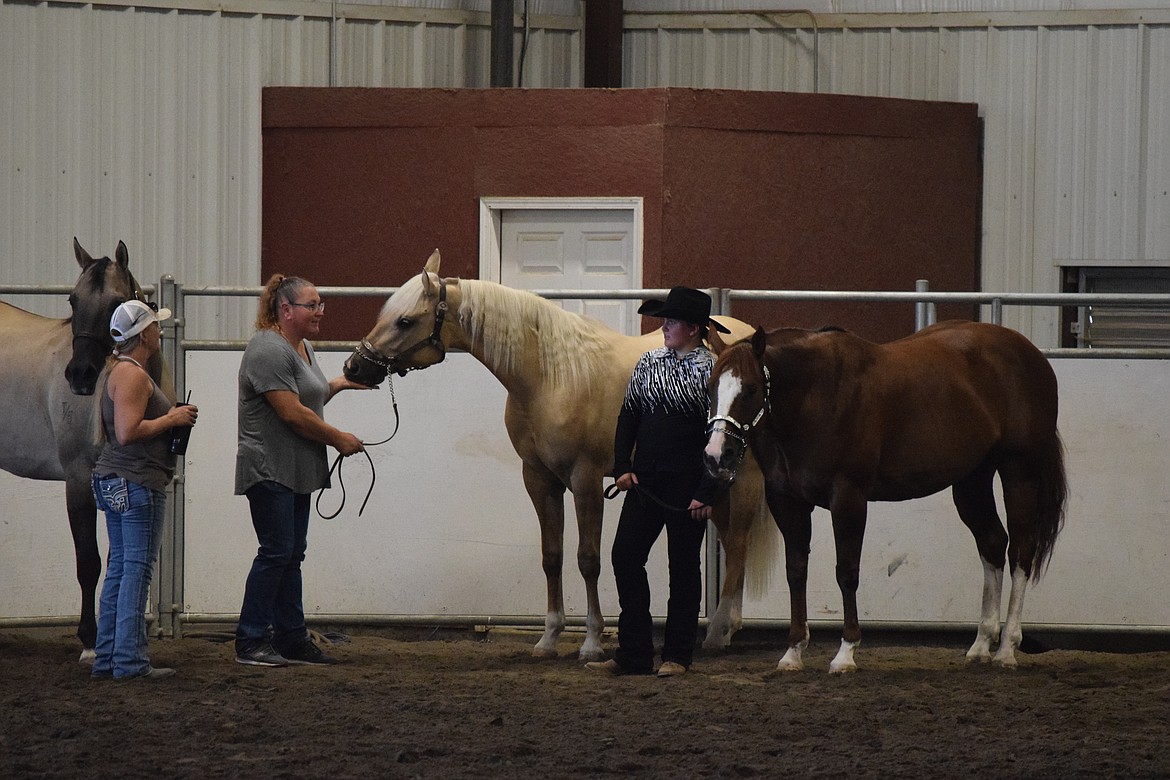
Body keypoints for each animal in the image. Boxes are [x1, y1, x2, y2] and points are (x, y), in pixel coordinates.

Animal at [0, 238, 167, 659]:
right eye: (73, 300)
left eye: (116, 303)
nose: (79, 375)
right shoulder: (78, 479)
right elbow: (88, 562)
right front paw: (90, 640)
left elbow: (120, 560)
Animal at [341, 253, 776, 664]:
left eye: (405, 320)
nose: (354, 366)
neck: (551, 378)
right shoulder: (538, 479)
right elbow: (552, 557)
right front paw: (548, 638)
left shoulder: (585, 481)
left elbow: (588, 559)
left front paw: (591, 643)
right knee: (731, 542)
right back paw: (727, 628)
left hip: (741, 475)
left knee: (738, 542)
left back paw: (718, 631)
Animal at [702, 320, 1071, 673]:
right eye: (710, 388)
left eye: (750, 389)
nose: (717, 454)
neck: (818, 395)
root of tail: (1031, 354)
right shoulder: (786, 501)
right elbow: (796, 572)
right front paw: (793, 653)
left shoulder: (848, 497)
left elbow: (847, 572)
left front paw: (846, 654)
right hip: (972, 479)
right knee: (993, 543)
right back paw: (981, 646)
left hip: (1019, 471)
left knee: (1021, 550)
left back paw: (1007, 649)